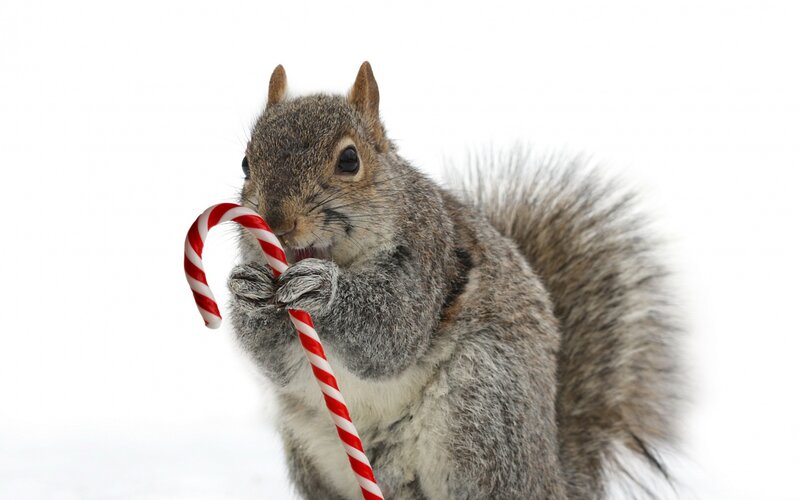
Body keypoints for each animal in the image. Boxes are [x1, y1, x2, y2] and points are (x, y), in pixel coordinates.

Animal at [227, 62, 682, 499]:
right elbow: (273, 359)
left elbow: (392, 333)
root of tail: (550, 476)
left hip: (483, 412)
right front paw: (247, 290)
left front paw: (324, 288)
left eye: (350, 160)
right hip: (313, 448)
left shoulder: (429, 259)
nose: (276, 221)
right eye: (246, 162)